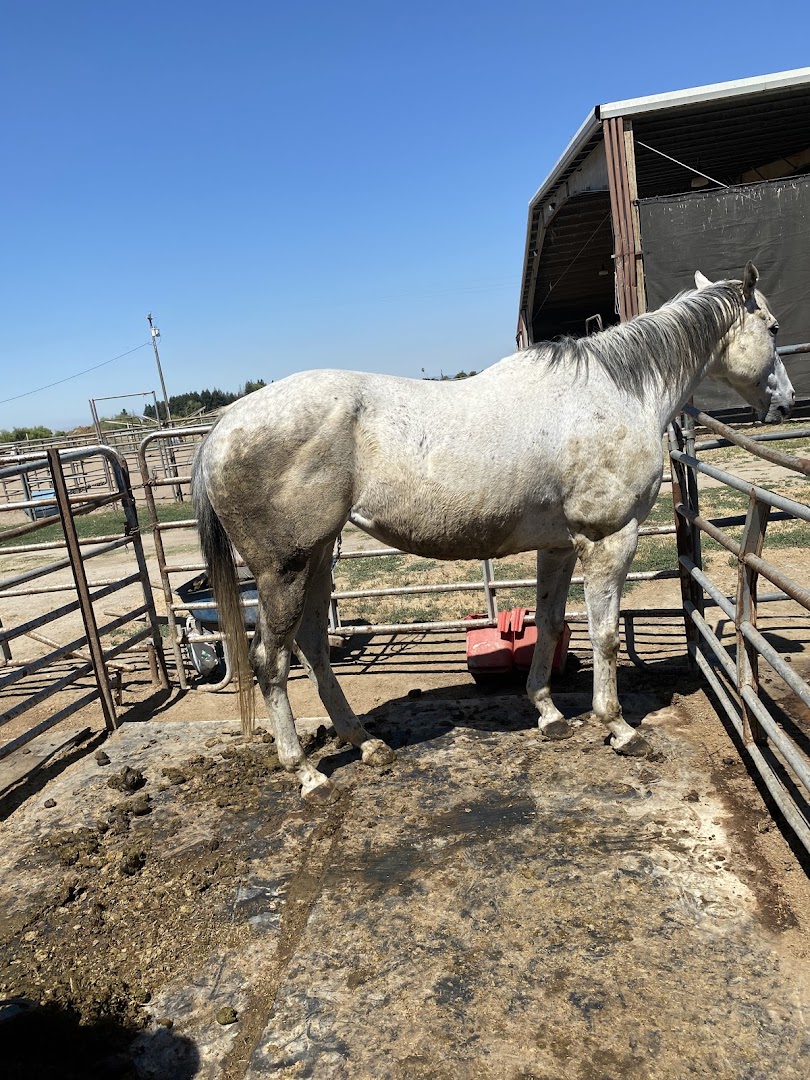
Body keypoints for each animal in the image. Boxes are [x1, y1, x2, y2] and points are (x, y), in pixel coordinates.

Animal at [195, 264, 794, 799]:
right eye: (772, 328)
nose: (786, 402)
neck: (618, 394)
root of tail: (221, 430)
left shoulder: (560, 547)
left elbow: (550, 623)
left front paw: (549, 714)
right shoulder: (610, 540)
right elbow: (602, 634)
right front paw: (619, 729)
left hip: (319, 558)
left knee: (315, 646)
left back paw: (365, 744)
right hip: (284, 570)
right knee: (271, 661)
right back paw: (307, 775)